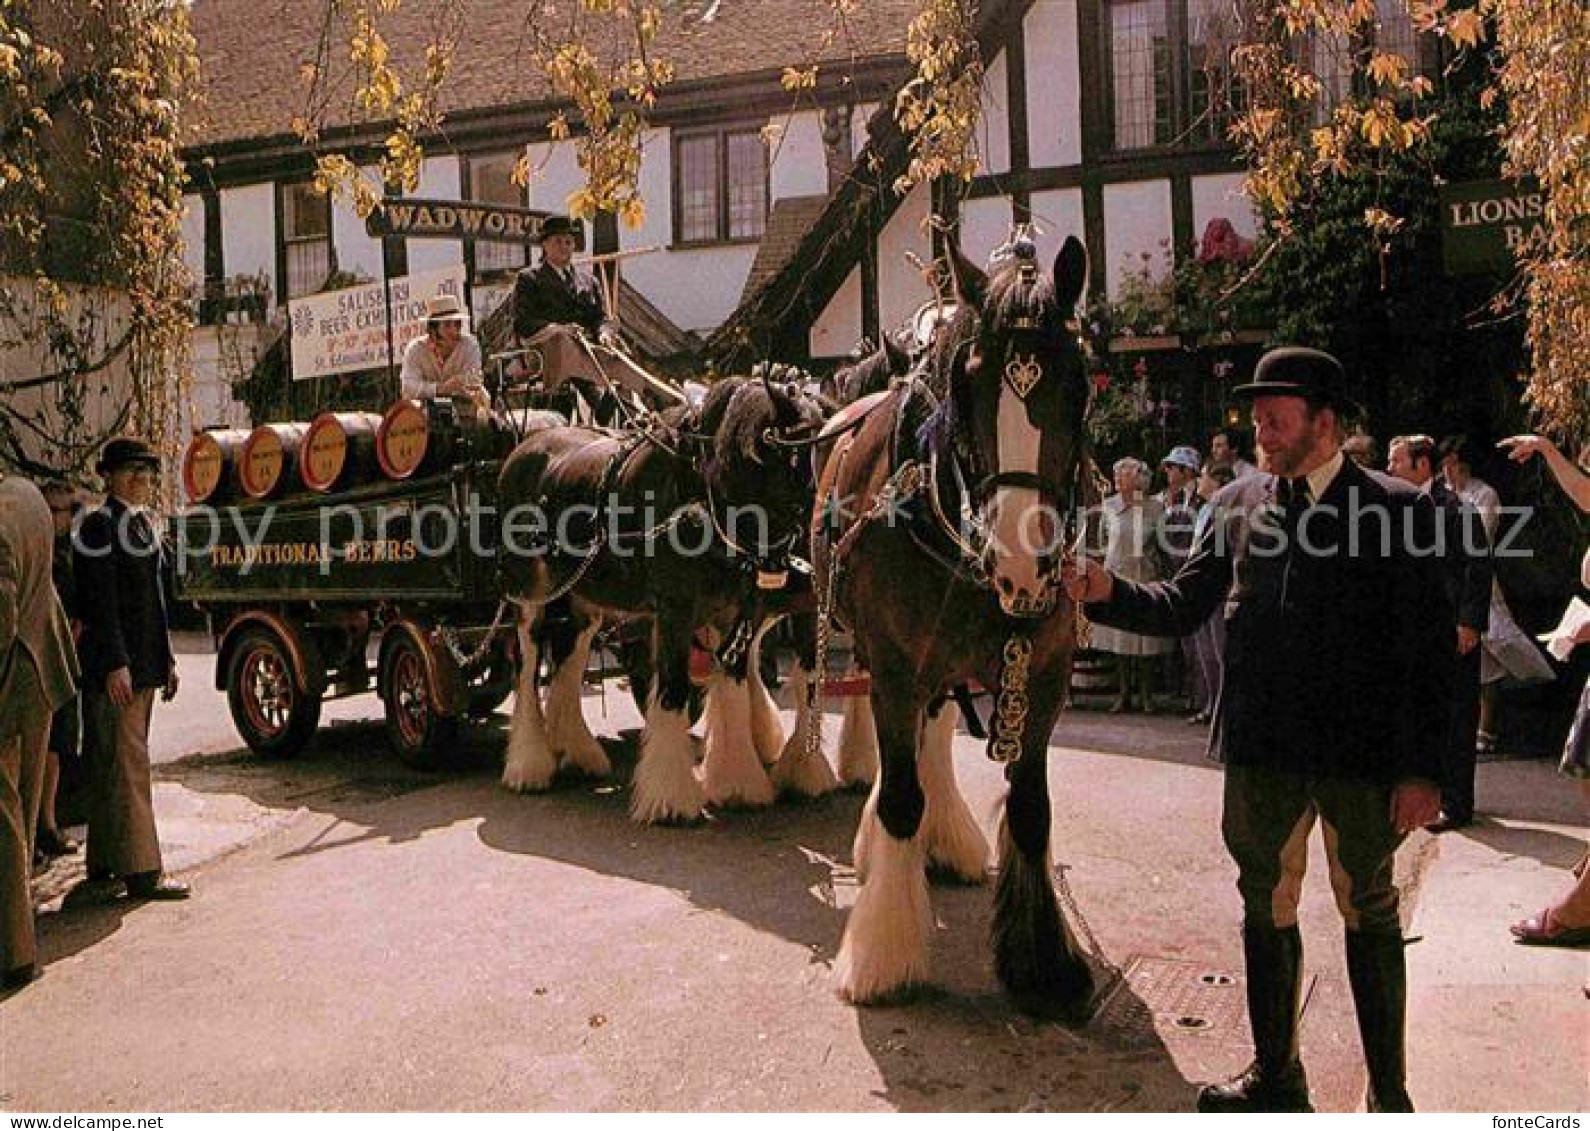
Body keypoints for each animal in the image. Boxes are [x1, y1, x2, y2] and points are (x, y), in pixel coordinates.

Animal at [496, 378, 826, 820]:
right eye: (803, 451)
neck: (701, 494)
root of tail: (524, 448)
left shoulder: (735, 611)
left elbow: (734, 685)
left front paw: (738, 781)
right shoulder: (675, 608)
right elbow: (673, 688)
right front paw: (670, 799)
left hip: (582, 600)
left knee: (569, 656)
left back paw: (577, 750)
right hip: (528, 593)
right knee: (529, 665)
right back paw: (528, 765)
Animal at [814, 233, 1100, 1011]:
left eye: (1081, 385)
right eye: (970, 387)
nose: (1023, 561)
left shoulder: (1045, 672)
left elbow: (1030, 806)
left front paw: (1043, 963)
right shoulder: (892, 665)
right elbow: (900, 795)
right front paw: (883, 953)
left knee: (933, 734)